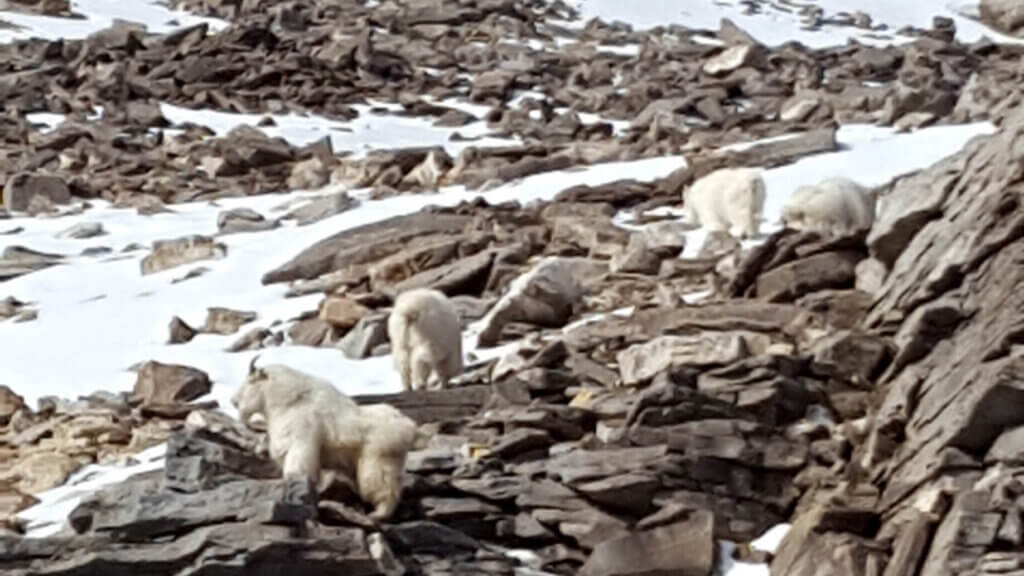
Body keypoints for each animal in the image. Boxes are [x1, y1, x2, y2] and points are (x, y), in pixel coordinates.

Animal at [234, 356, 417, 518]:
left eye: (250, 382)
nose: (233, 401)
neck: (287, 400)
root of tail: (408, 427)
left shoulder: (300, 438)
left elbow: (297, 463)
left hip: (376, 459)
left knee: (383, 486)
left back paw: (378, 514)